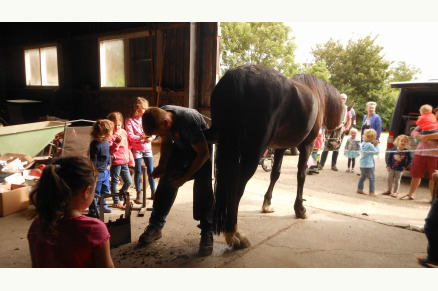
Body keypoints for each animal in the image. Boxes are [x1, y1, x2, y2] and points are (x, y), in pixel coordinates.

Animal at [207, 65, 348, 250]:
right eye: (346, 117)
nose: (334, 144)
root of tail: (238, 74)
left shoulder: (281, 147)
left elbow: (275, 173)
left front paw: (267, 205)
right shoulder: (307, 146)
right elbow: (301, 176)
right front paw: (300, 209)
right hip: (252, 152)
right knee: (237, 187)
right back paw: (234, 234)